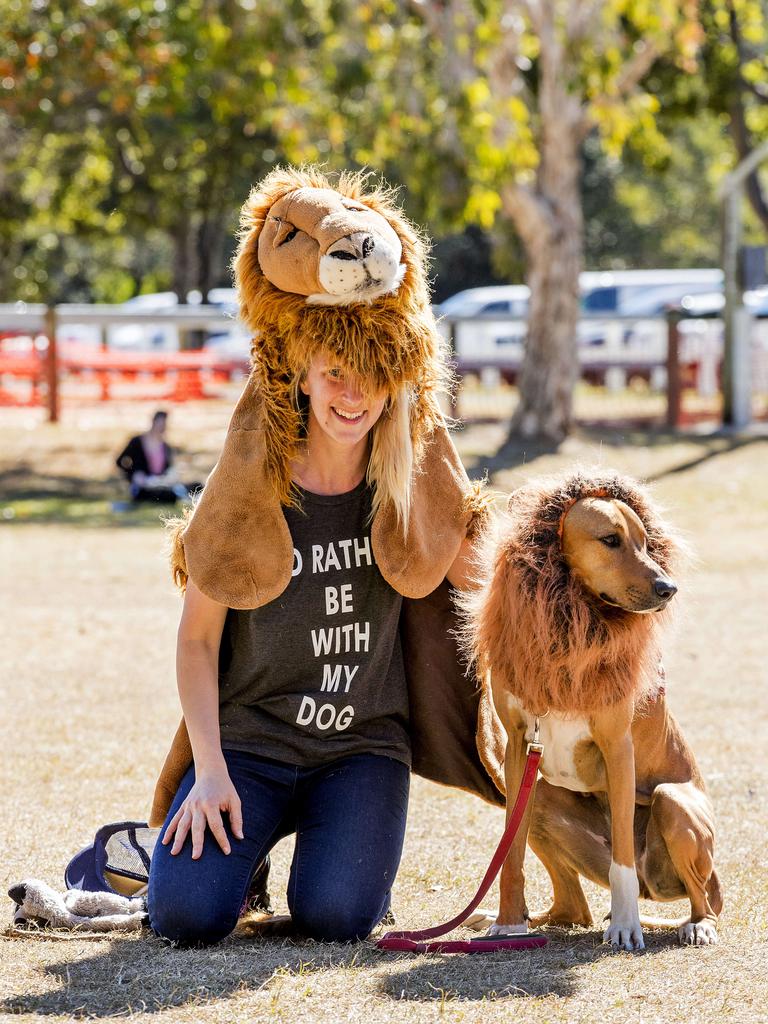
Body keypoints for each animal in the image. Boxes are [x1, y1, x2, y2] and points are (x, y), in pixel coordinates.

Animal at [462, 475, 720, 946]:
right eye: (610, 540)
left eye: (645, 542)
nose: (668, 589)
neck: (571, 634)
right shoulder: (518, 748)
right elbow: (511, 856)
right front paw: (507, 921)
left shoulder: (617, 747)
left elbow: (622, 863)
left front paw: (625, 925)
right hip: (538, 797)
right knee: (572, 908)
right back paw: (515, 921)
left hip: (674, 804)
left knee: (701, 898)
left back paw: (698, 926)